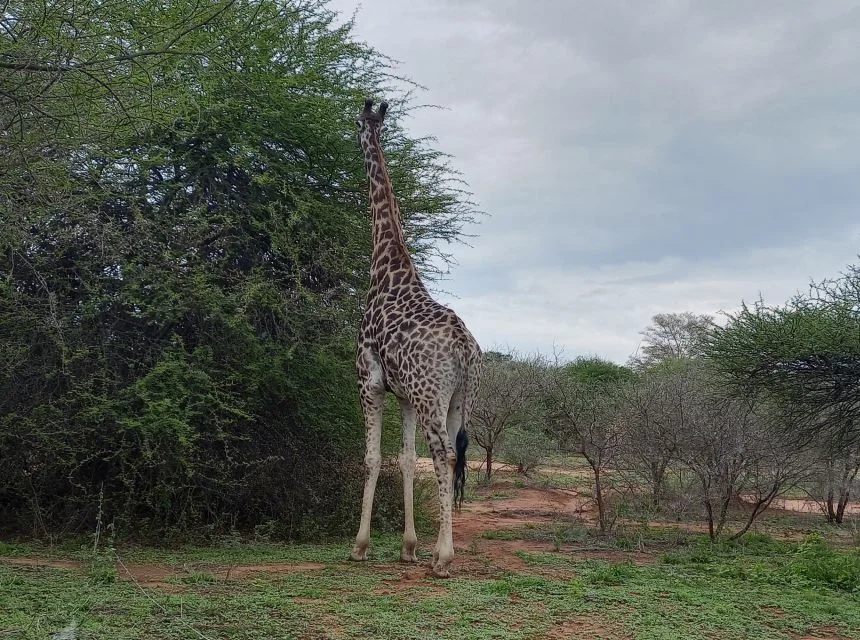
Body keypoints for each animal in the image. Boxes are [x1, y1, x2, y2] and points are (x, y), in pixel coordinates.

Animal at [350, 98, 482, 578]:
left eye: (358, 121)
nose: (358, 129)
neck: (386, 269)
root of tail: (464, 348)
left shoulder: (368, 382)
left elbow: (372, 458)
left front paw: (360, 546)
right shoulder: (403, 394)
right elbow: (405, 460)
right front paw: (407, 547)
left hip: (432, 396)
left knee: (442, 453)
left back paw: (444, 558)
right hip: (461, 396)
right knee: (456, 454)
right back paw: (437, 552)